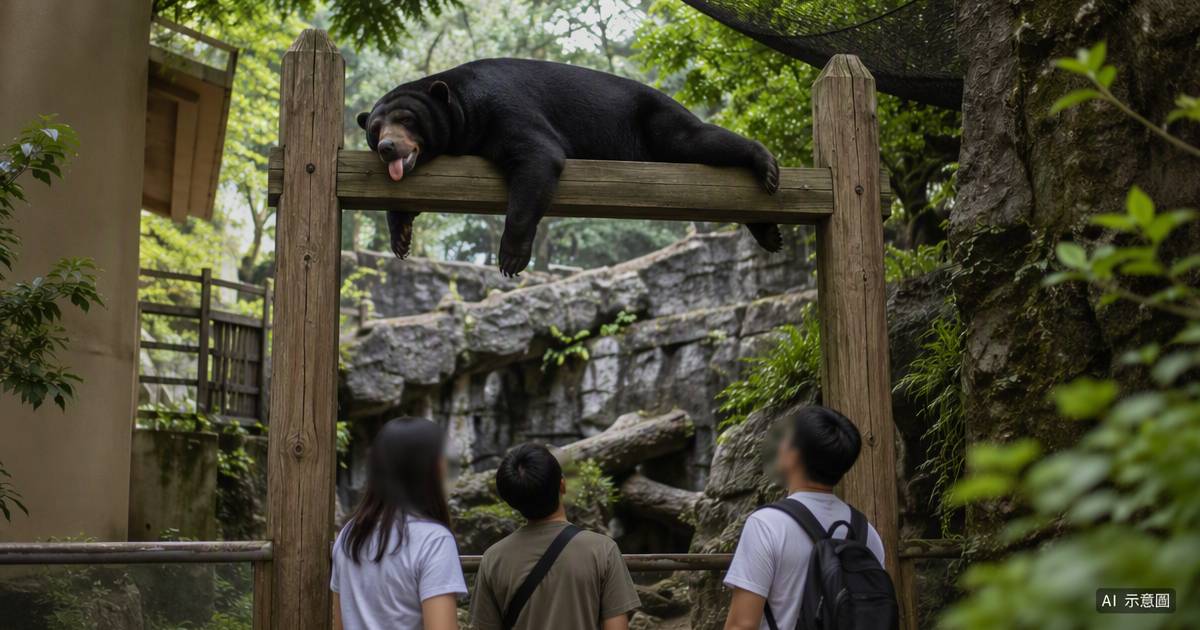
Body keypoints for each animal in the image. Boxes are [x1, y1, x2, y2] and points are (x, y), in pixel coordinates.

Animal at [357, 58, 781, 276]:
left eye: (408, 120)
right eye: (376, 129)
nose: (388, 148)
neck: (462, 103)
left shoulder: (504, 108)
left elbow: (538, 157)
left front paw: (511, 259)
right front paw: (400, 238)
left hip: (657, 121)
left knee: (696, 140)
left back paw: (767, 166)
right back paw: (769, 233)